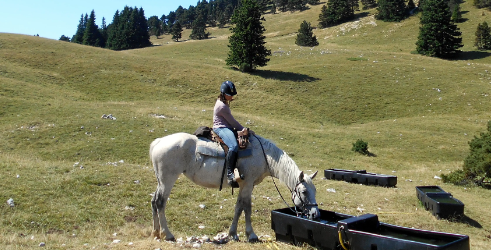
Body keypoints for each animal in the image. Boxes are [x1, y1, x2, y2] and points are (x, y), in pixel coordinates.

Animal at [148, 133, 320, 242]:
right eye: (304, 191)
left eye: (315, 191)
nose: (315, 214)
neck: (265, 155)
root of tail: (158, 142)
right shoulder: (248, 184)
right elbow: (247, 208)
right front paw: (251, 235)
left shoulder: (244, 185)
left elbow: (239, 208)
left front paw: (233, 234)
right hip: (168, 180)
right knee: (160, 203)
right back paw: (168, 234)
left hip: (161, 181)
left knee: (154, 201)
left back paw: (156, 233)